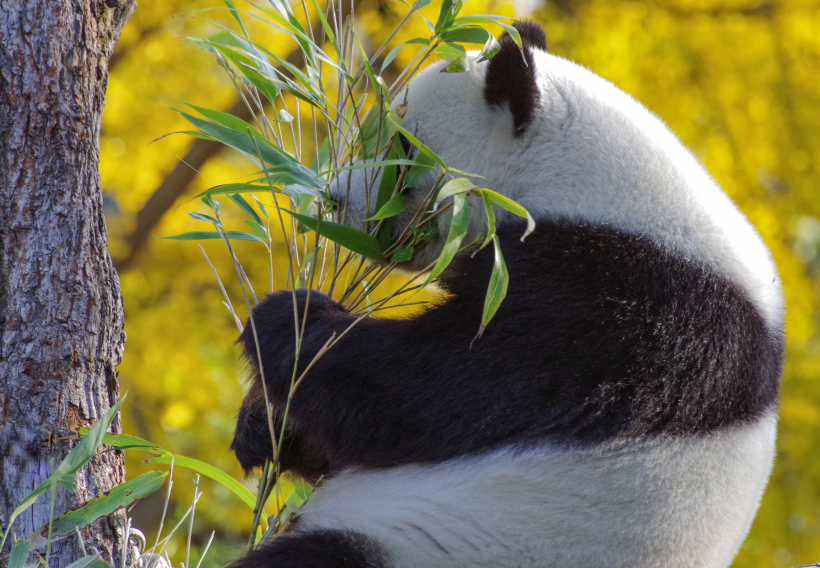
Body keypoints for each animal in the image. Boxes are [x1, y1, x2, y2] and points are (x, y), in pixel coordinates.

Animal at [229, 21, 780, 568]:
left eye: (401, 150)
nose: (335, 200)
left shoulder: (616, 311)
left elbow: (420, 393)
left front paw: (289, 318)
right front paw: (263, 429)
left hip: (431, 544)